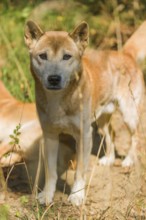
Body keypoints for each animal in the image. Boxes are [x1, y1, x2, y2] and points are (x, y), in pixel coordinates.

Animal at [24, 19, 146, 206]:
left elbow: (80, 172)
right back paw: (109, 159)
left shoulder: (83, 135)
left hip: (128, 114)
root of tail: (125, 53)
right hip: (100, 118)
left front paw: (76, 196)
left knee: (136, 136)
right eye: (43, 56)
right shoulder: (50, 135)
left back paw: (129, 160)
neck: (59, 100)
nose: (54, 79)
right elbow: (51, 171)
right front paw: (47, 195)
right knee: (111, 133)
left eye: (67, 56)